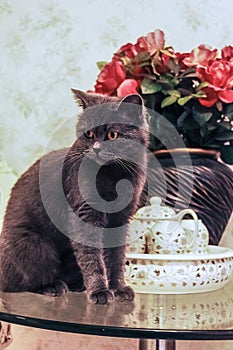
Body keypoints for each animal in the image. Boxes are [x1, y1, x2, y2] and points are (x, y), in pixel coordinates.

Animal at [0, 90, 148, 304]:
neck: (114, 175)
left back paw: (77, 285)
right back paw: (55, 287)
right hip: (34, 245)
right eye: (89, 134)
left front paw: (118, 288)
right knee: (20, 283)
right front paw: (100, 292)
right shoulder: (85, 215)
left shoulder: (121, 219)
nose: (96, 148)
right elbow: (92, 258)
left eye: (112, 135)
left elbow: (116, 258)